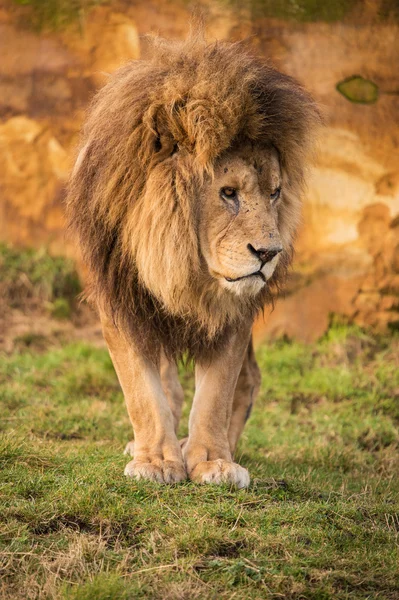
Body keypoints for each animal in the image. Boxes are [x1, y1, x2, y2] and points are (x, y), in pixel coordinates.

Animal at [67, 30, 320, 488]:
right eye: (228, 193)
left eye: (274, 192)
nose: (268, 253)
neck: (181, 262)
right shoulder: (119, 297)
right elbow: (142, 389)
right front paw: (155, 460)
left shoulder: (235, 311)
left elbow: (217, 392)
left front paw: (212, 461)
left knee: (248, 378)